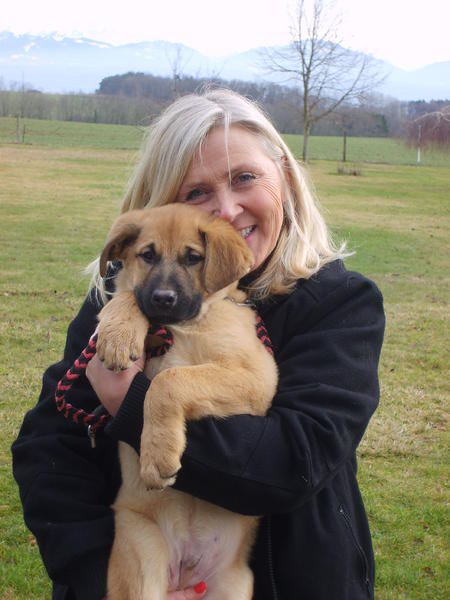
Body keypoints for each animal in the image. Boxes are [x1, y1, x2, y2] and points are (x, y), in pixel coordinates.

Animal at [95, 204, 278, 600]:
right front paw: (117, 334)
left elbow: (169, 380)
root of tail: (185, 574)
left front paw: (158, 454)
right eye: (147, 255)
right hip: (142, 553)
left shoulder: (257, 377)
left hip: (236, 585)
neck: (188, 323)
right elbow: (127, 293)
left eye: (193, 258)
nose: (163, 298)